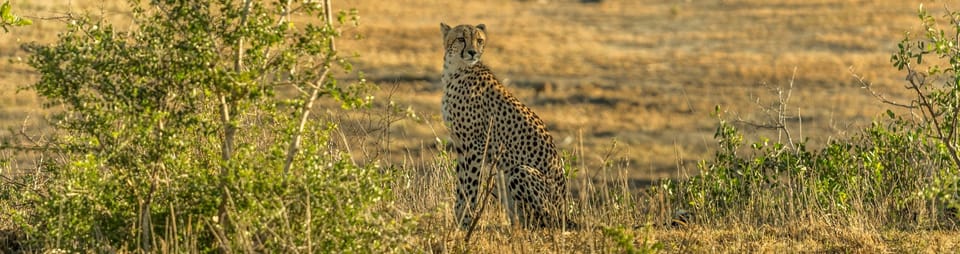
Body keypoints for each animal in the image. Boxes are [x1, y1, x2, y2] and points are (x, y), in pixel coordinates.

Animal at [440, 22, 568, 228]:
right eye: (461, 38)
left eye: (479, 40)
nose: (472, 52)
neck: (456, 69)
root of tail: (565, 212)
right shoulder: (460, 146)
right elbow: (460, 186)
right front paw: (458, 221)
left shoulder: (476, 146)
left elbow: (470, 186)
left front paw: (466, 222)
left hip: (520, 171)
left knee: (542, 221)